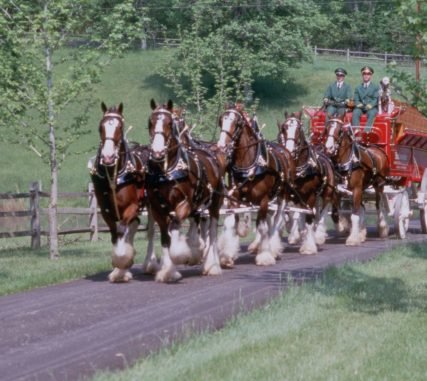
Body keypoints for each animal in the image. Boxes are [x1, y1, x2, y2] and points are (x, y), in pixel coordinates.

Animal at [90, 102, 159, 280]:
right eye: (100, 127)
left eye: (120, 127)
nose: (107, 156)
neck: (114, 175)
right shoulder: (106, 211)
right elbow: (115, 235)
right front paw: (119, 268)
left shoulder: (131, 207)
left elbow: (122, 231)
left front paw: (121, 264)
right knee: (133, 227)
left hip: (151, 205)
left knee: (149, 231)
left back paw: (150, 264)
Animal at [146, 98, 226, 282]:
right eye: (150, 122)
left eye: (170, 123)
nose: (158, 152)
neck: (167, 172)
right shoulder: (157, 210)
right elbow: (165, 238)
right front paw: (167, 271)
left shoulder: (184, 204)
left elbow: (175, 226)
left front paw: (181, 255)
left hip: (214, 204)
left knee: (212, 232)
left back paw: (213, 266)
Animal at [219, 102, 296, 266]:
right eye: (221, 120)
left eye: (237, 123)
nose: (221, 145)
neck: (249, 165)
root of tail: (285, 150)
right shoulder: (235, 198)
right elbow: (232, 224)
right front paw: (227, 256)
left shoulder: (263, 200)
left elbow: (262, 227)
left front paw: (265, 256)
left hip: (283, 195)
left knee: (277, 220)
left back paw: (273, 248)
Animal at [278, 110, 342, 252]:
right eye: (284, 128)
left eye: (298, 129)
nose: (289, 150)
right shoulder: (293, 196)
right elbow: (295, 215)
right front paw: (297, 235)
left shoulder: (311, 195)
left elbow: (308, 217)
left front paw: (309, 246)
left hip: (327, 192)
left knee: (323, 211)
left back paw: (319, 235)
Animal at [324, 115, 392, 243]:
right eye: (326, 129)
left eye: (340, 131)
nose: (328, 148)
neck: (348, 161)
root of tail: (377, 149)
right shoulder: (337, 190)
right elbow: (335, 213)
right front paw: (343, 228)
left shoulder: (356, 189)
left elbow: (354, 214)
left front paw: (352, 239)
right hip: (363, 188)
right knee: (363, 208)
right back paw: (361, 232)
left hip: (379, 184)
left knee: (378, 205)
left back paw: (382, 228)